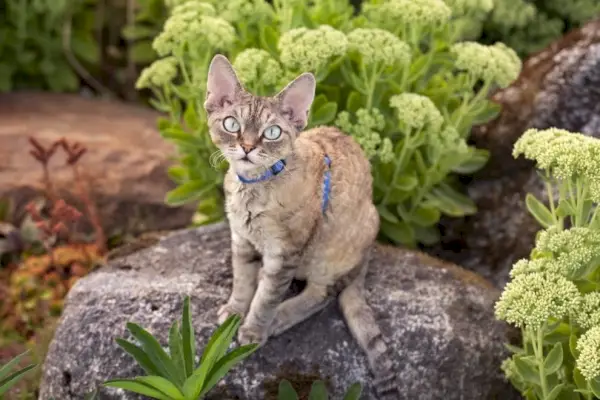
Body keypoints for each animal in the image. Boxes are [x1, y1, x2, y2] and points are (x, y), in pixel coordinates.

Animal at [205, 54, 398, 398]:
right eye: (231, 124)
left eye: (272, 132)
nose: (247, 147)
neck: (254, 190)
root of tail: (367, 253)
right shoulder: (241, 240)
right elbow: (242, 280)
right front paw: (235, 311)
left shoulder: (285, 253)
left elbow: (266, 298)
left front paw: (254, 329)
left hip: (330, 253)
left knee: (322, 295)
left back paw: (280, 317)